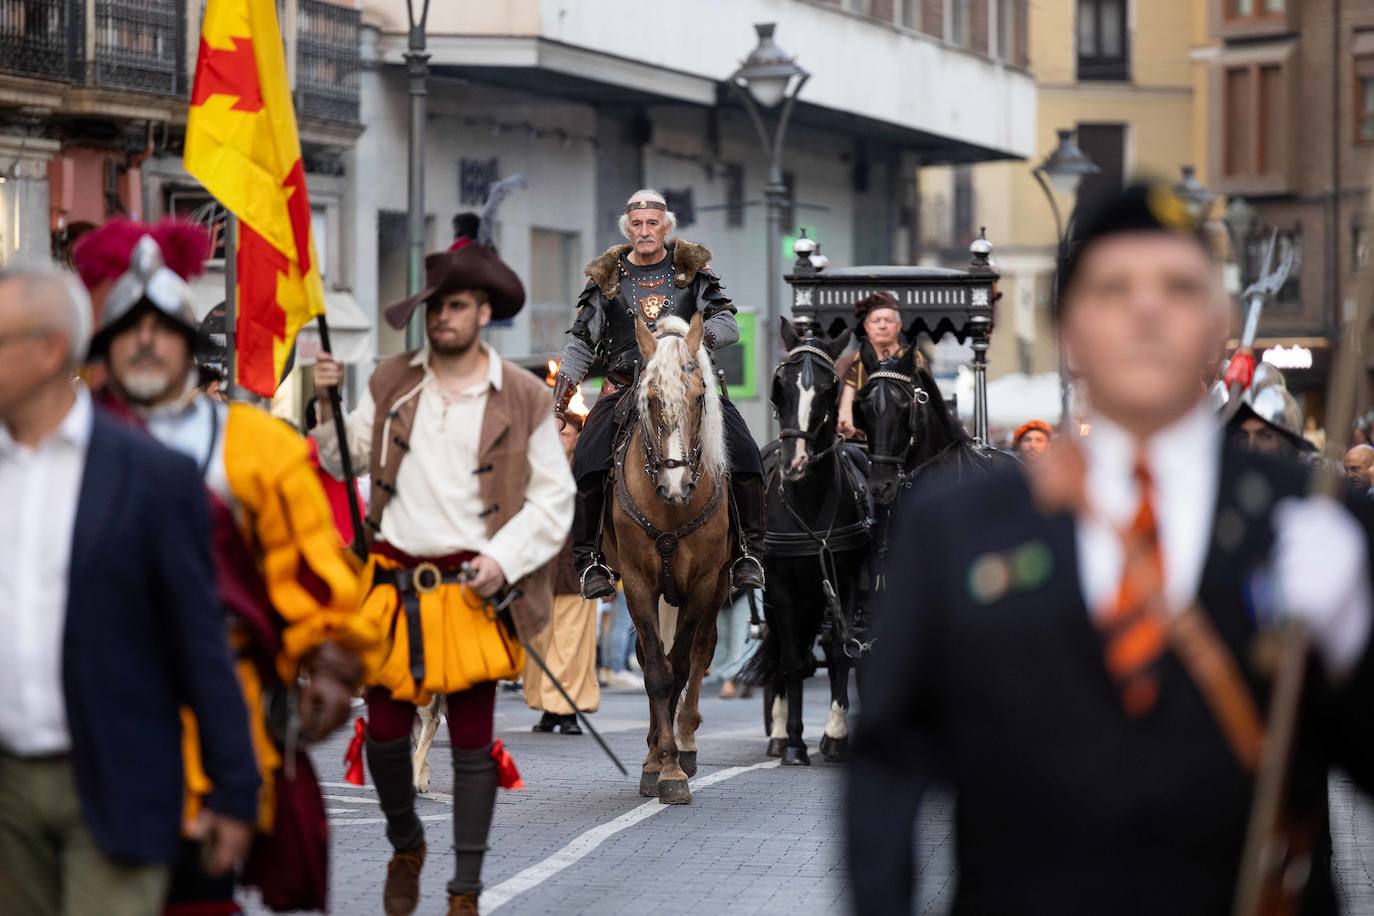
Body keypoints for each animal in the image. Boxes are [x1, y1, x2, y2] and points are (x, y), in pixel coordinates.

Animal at [601, 311, 730, 807]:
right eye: (651, 399)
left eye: (698, 397)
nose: (676, 485)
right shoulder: (637, 584)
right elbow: (657, 670)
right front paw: (660, 765)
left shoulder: (702, 584)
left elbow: (680, 668)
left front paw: (676, 766)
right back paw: (655, 749)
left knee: (700, 653)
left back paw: (687, 743)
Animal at [741, 321, 868, 769]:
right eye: (780, 385)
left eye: (831, 389)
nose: (794, 462)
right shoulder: (781, 588)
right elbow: (793, 661)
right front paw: (795, 743)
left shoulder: (847, 580)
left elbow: (842, 652)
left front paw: (836, 735)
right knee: (784, 650)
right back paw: (780, 734)